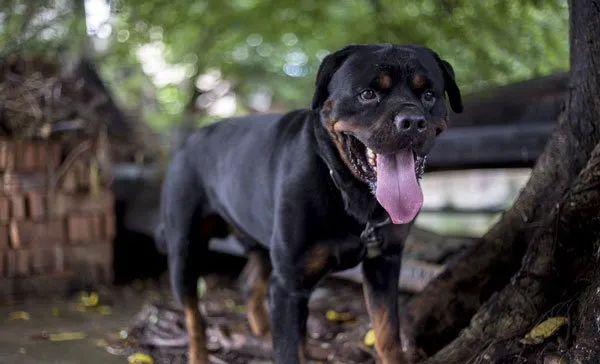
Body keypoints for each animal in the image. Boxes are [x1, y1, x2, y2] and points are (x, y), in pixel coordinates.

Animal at [156, 43, 464, 364]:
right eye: (368, 94)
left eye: (428, 94)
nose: (412, 122)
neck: (348, 191)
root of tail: (188, 142)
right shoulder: (289, 285)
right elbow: (290, 350)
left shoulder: (384, 262)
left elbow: (387, 334)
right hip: (184, 248)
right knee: (194, 316)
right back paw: (200, 353)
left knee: (250, 284)